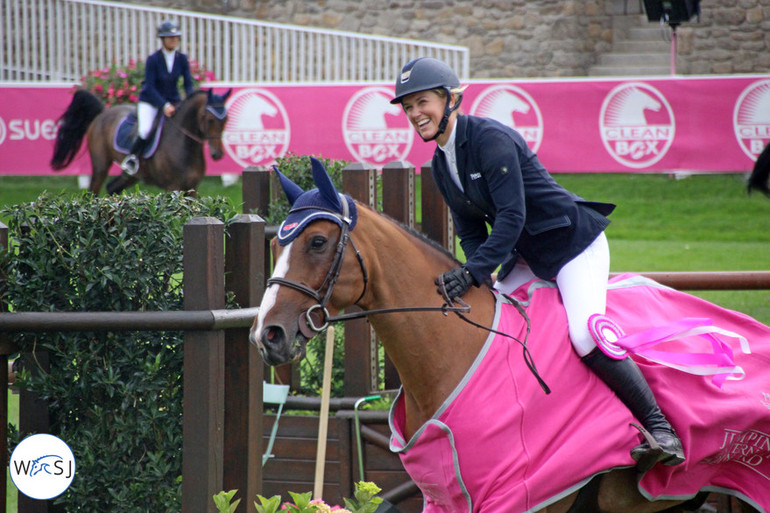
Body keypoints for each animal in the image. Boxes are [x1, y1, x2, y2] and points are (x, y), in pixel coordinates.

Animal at [50, 88, 230, 194]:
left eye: (225, 119)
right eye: (210, 119)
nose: (218, 154)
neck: (185, 145)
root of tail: (103, 112)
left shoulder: (192, 188)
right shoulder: (174, 188)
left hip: (132, 174)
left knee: (112, 188)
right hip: (101, 165)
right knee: (93, 191)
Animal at [252, 158, 768, 510]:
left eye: (318, 242)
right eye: (277, 243)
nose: (267, 334)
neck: (454, 354)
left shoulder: (517, 494)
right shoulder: (446, 498)